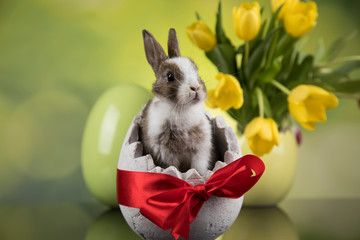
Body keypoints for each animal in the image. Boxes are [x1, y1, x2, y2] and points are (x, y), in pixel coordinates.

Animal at [139, 28, 214, 176]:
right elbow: (173, 168)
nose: (195, 87)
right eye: (170, 76)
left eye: (197, 72)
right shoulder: (164, 153)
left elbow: (198, 168)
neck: (182, 109)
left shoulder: (200, 150)